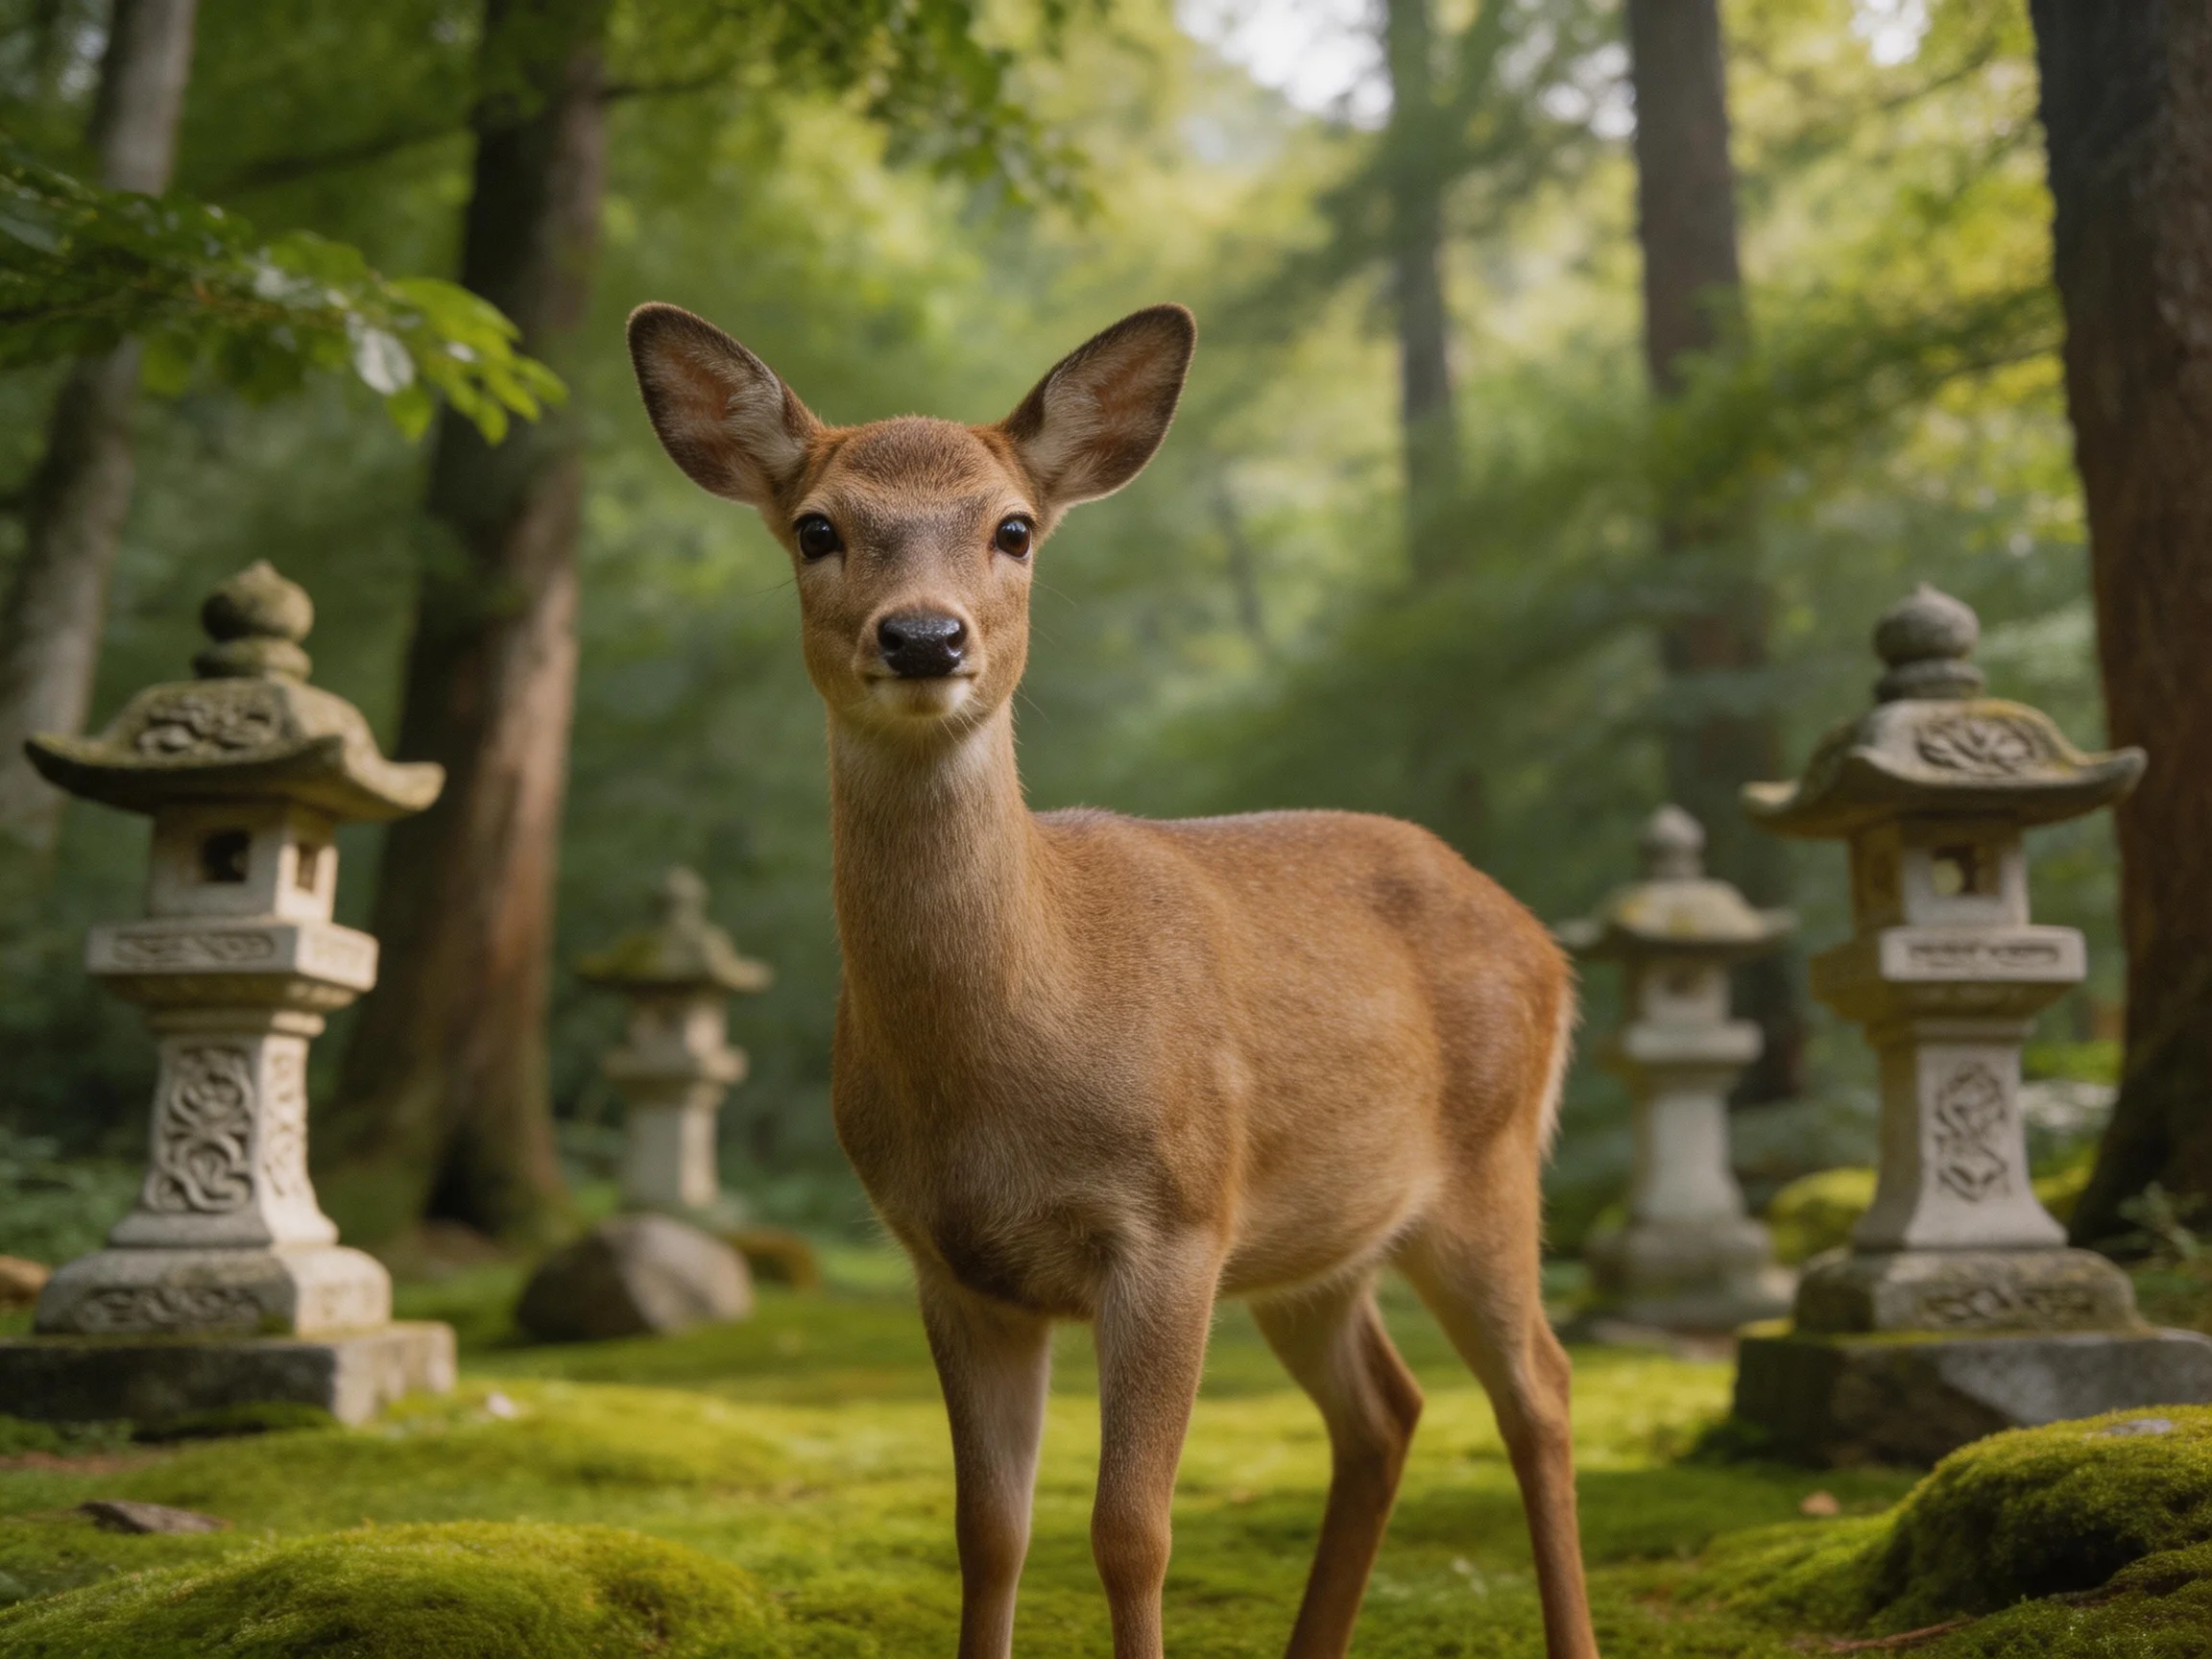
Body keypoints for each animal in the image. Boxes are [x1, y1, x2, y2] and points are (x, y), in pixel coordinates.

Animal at [626, 300, 1598, 1659]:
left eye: (1013, 528)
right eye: (818, 526)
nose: (923, 635)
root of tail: (1543, 941)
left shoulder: (1173, 1222)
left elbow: (1131, 1532)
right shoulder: (950, 1260)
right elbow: (989, 1532)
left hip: (1490, 1166)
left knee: (1541, 1392)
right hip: (1314, 1240)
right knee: (1384, 1410)